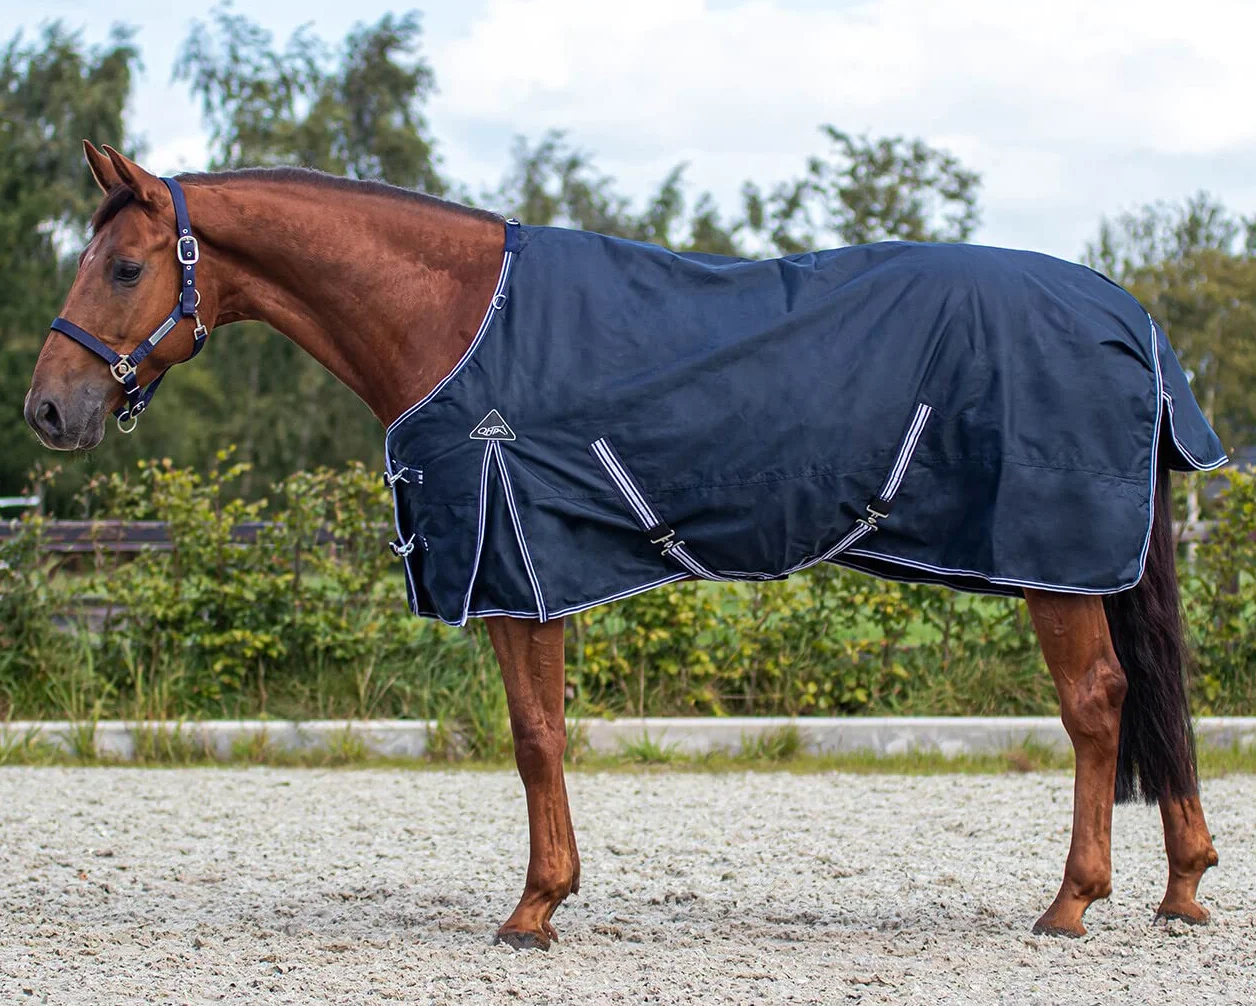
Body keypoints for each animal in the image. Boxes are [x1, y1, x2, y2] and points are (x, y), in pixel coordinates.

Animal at [23, 142, 1221, 950]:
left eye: (124, 268)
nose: (47, 410)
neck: (453, 318)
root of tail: (1131, 317)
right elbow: (541, 734)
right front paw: (548, 894)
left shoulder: (516, 563)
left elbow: (534, 736)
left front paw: (533, 907)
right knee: (1152, 699)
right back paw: (1182, 886)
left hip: (1053, 561)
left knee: (1098, 702)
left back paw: (1072, 901)